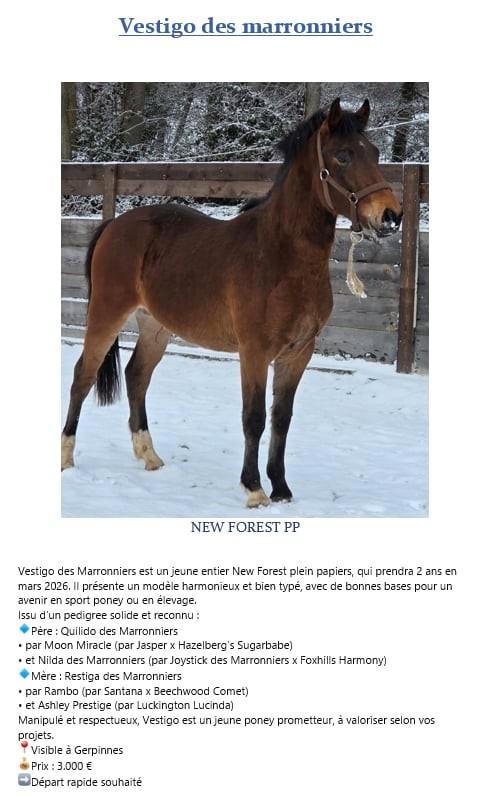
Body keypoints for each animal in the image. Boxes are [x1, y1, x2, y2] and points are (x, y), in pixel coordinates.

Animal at [61, 98, 402, 508]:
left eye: (376, 152)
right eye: (344, 156)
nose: (391, 215)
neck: (280, 256)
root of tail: (114, 225)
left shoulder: (298, 353)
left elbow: (281, 418)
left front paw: (282, 488)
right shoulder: (254, 351)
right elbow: (253, 417)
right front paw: (254, 489)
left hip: (155, 327)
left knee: (136, 376)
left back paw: (149, 456)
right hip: (106, 314)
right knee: (83, 376)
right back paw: (66, 459)